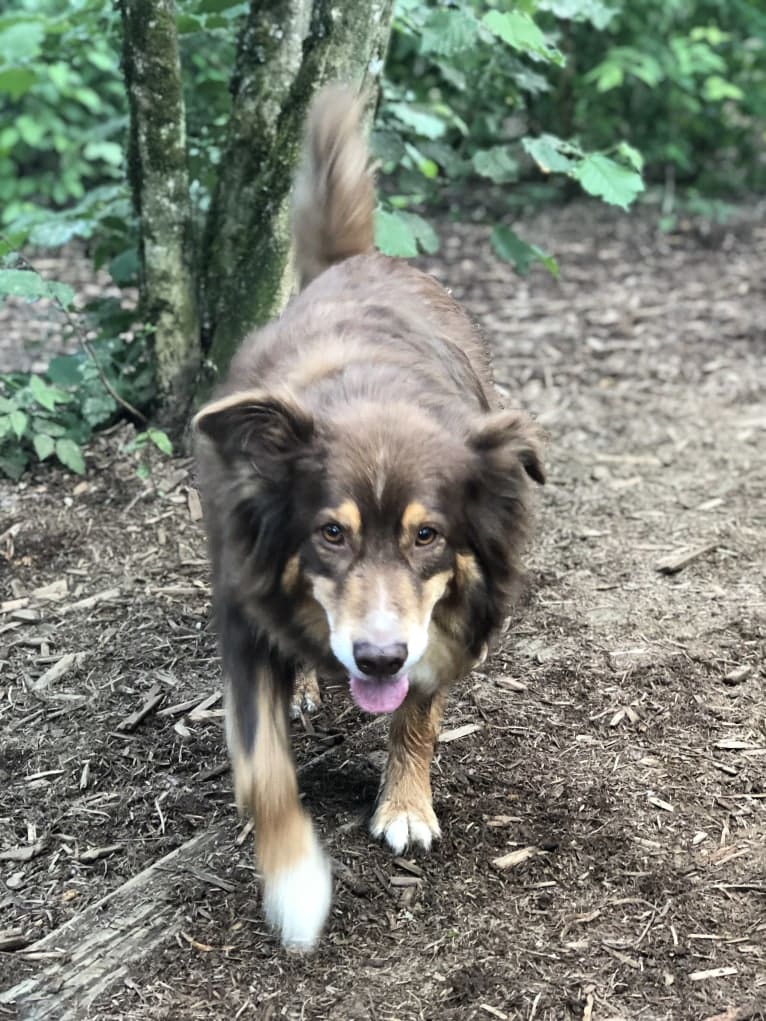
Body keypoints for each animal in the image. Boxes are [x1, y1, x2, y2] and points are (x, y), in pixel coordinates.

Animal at [196, 81, 547, 947]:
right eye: (330, 532)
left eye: (429, 535)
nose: (378, 658)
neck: (372, 393)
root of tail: (354, 259)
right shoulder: (243, 610)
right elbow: (263, 767)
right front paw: (294, 882)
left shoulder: (443, 615)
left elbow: (418, 711)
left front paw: (406, 802)